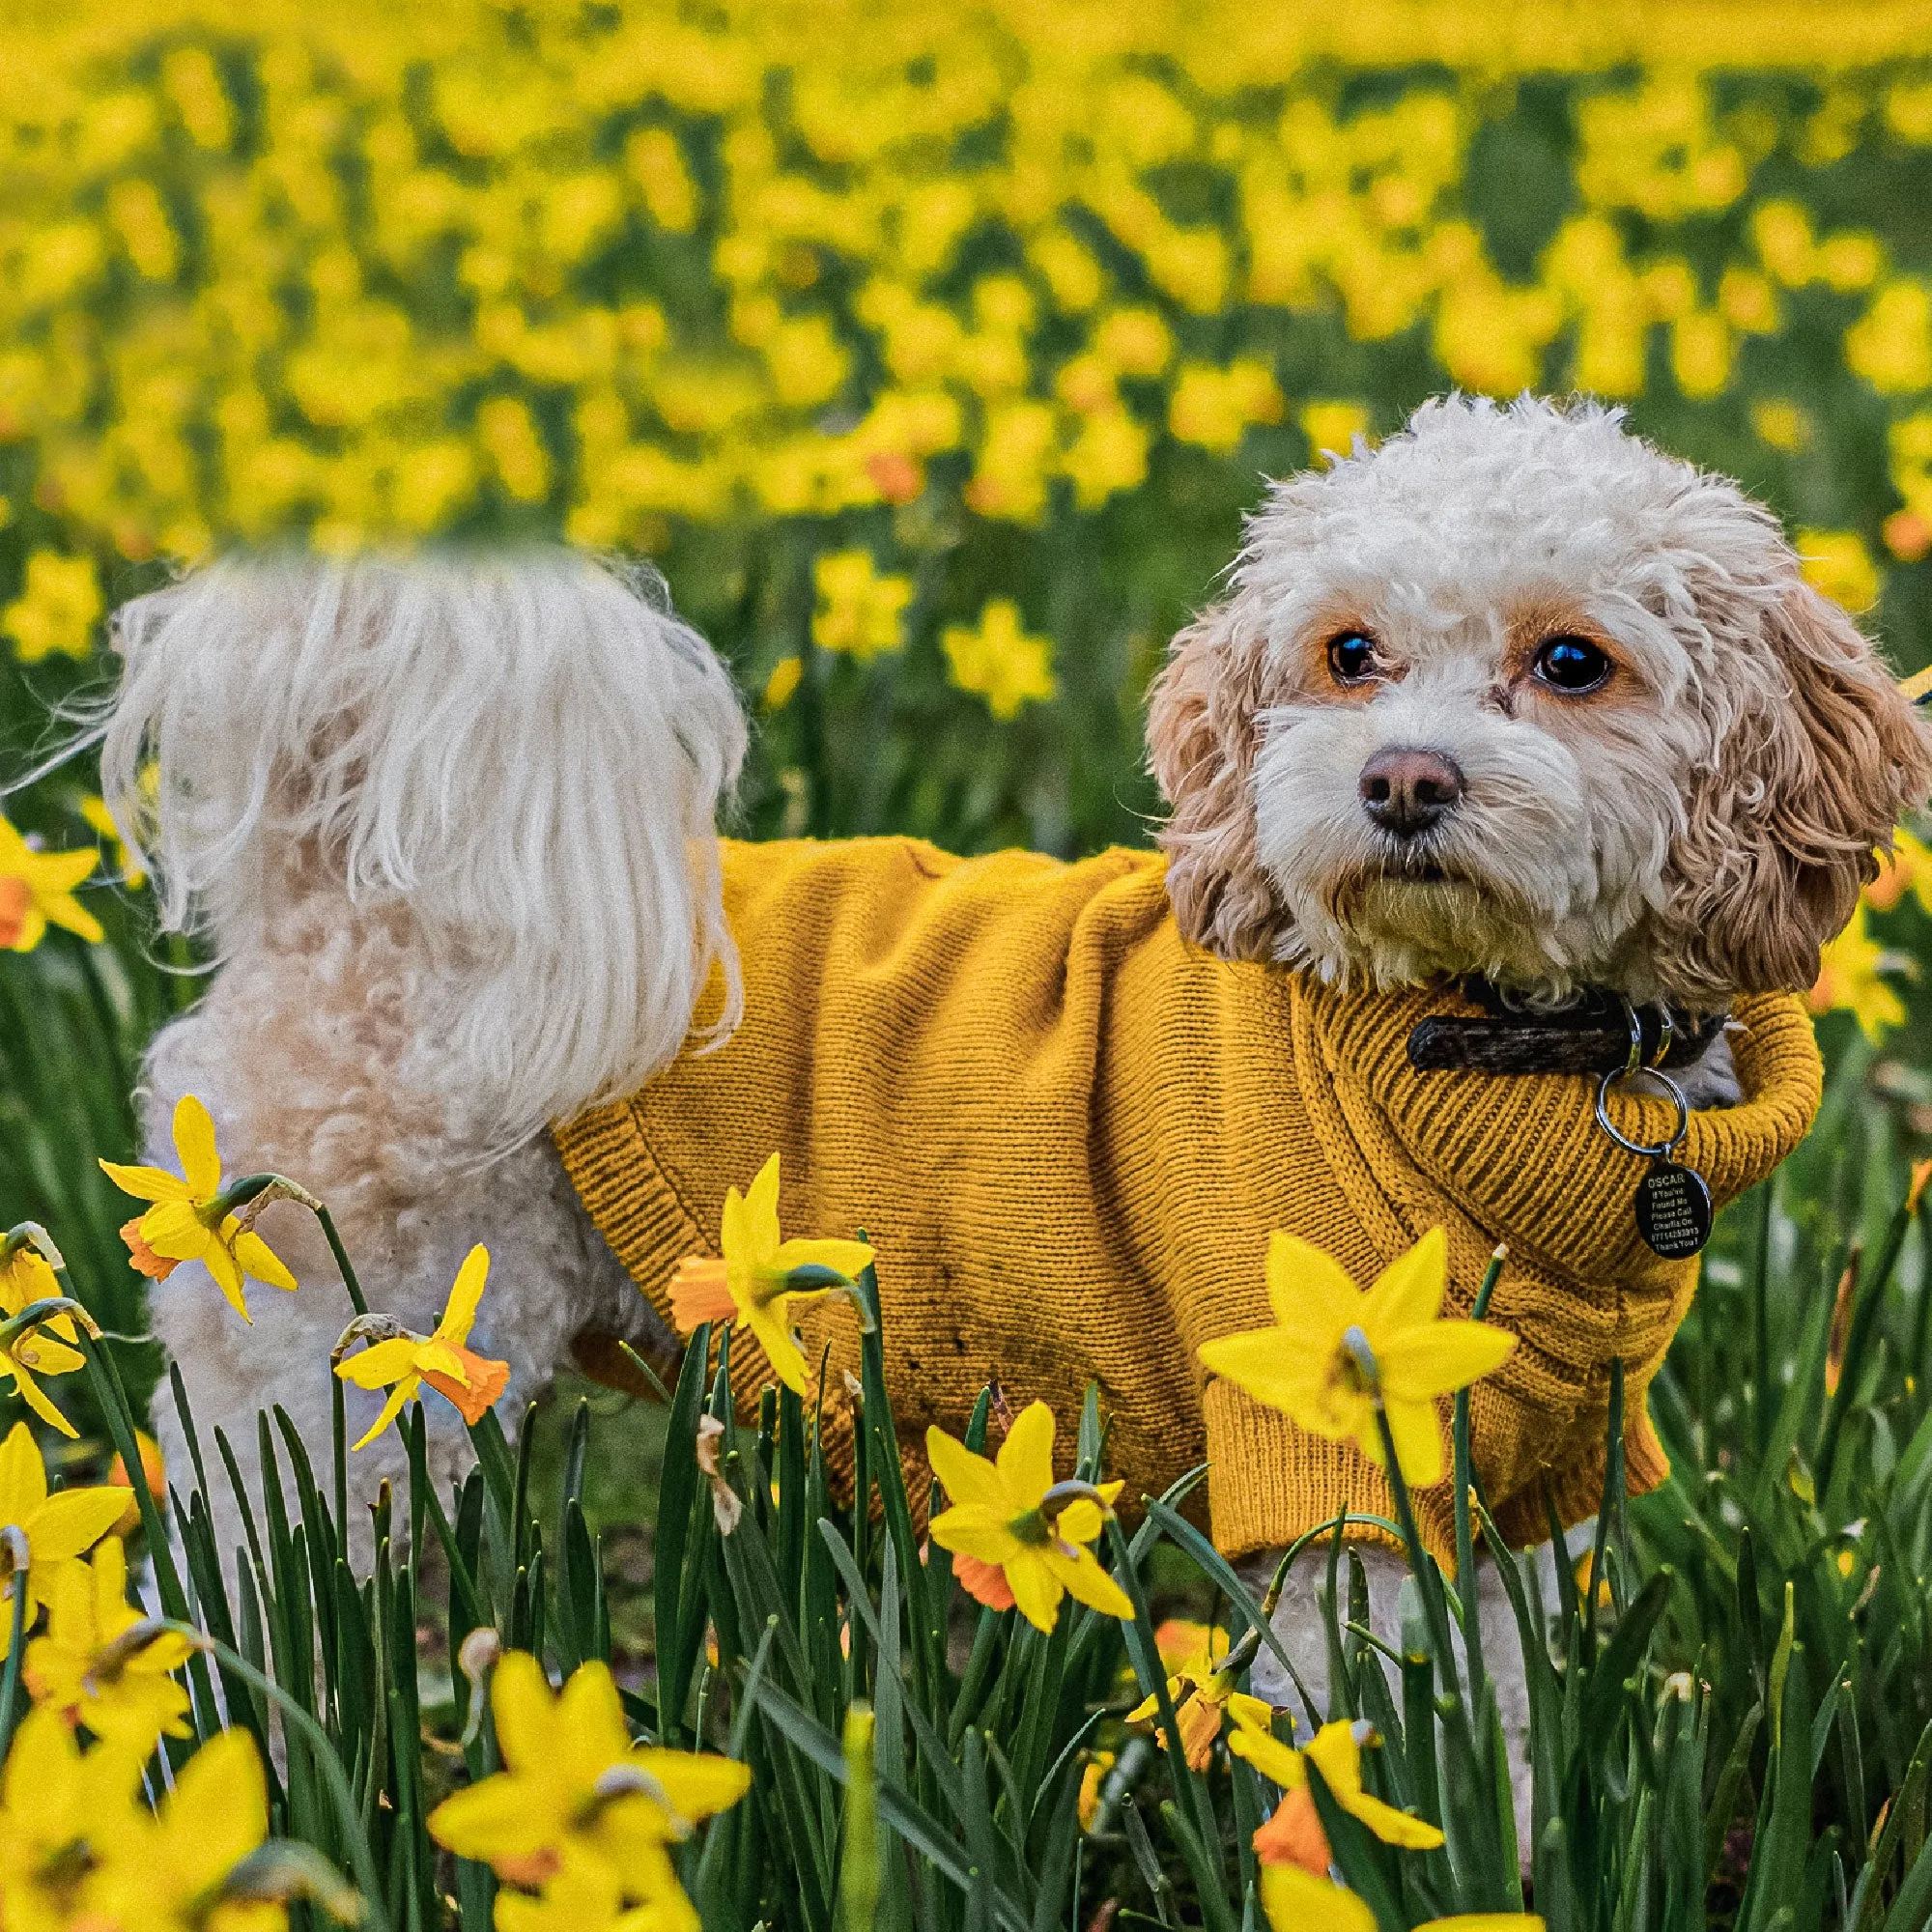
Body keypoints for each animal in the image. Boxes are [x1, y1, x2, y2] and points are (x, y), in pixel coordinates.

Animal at [87, 388, 1932, 1824]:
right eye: (1349, 653)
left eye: (1574, 660)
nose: (1402, 780)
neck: (1481, 1052)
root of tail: (353, 893)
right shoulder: (1333, 1484)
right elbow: (1372, 1744)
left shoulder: (1530, 1485)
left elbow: (1511, 1730)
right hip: (335, 1376)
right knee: (223, 1587)